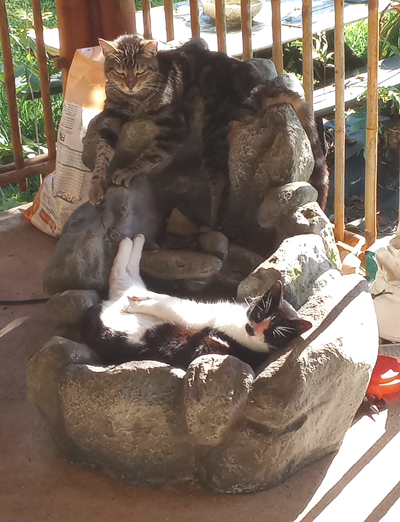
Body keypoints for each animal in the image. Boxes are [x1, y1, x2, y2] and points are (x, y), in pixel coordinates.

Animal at [81, 234, 312, 372]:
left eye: (274, 334)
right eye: (262, 312)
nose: (255, 330)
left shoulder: (192, 315)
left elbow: (166, 305)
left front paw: (136, 305)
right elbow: (163, 299)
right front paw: (141, 300)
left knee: (122, 281)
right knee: (127, 280)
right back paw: (134, 242)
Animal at [90, 34, 328, 225]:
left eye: (139, 72)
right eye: (120, 72)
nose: (130, 84)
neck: (135, 100)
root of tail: (259, 84)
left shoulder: (175, 126)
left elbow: (148, 155)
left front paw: (126, 172)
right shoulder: (111, 116)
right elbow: (102, 152)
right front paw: (96, 185)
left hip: (213, 129)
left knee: (222, 179)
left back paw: (212, 225)